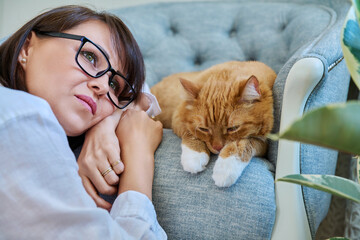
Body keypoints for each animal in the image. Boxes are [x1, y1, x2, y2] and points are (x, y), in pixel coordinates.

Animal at [149, 60, 276, 188]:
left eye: (233, 128)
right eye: (204, 129)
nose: (218, 148)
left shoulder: (265, 141)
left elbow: (242, 144)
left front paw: (225, 168)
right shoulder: (178, 118)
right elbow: (191, 134)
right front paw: (195, 156)